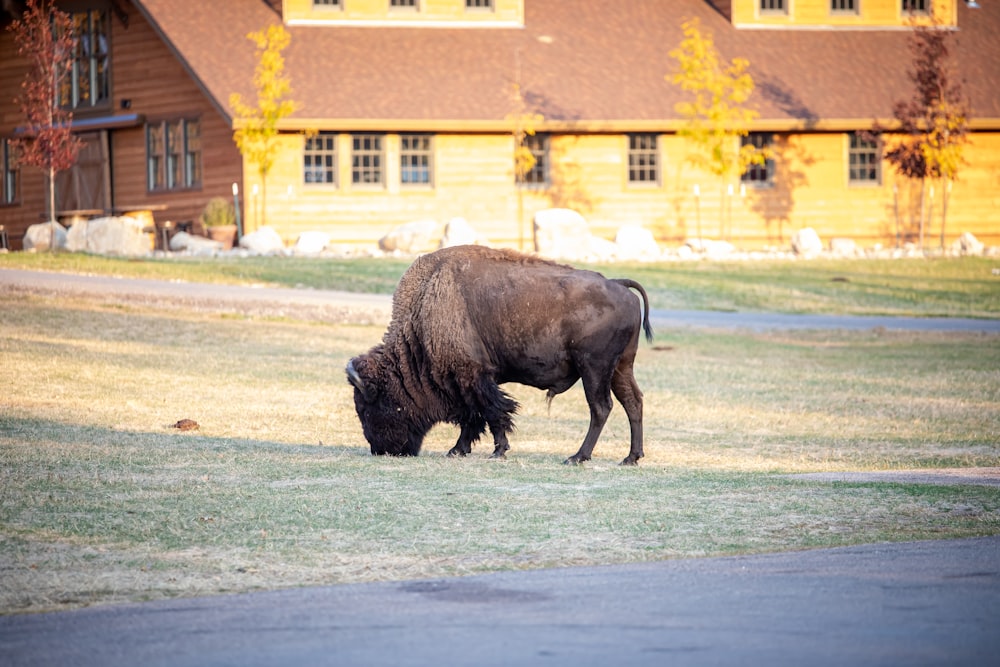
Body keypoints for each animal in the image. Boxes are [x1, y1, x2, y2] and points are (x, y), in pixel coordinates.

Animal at [348, 244, 652, 464]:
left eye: (366, 406)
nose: (380, 449)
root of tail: (619, 285)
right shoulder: (469, 381)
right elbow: (474, 417)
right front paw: (458, 450)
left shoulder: (472, 378)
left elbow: (491, 413)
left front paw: (497, 451)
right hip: (620, 367)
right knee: (633, 402)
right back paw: (631, 457)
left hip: (594, 369)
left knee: (601, 408)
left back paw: (577, 457)